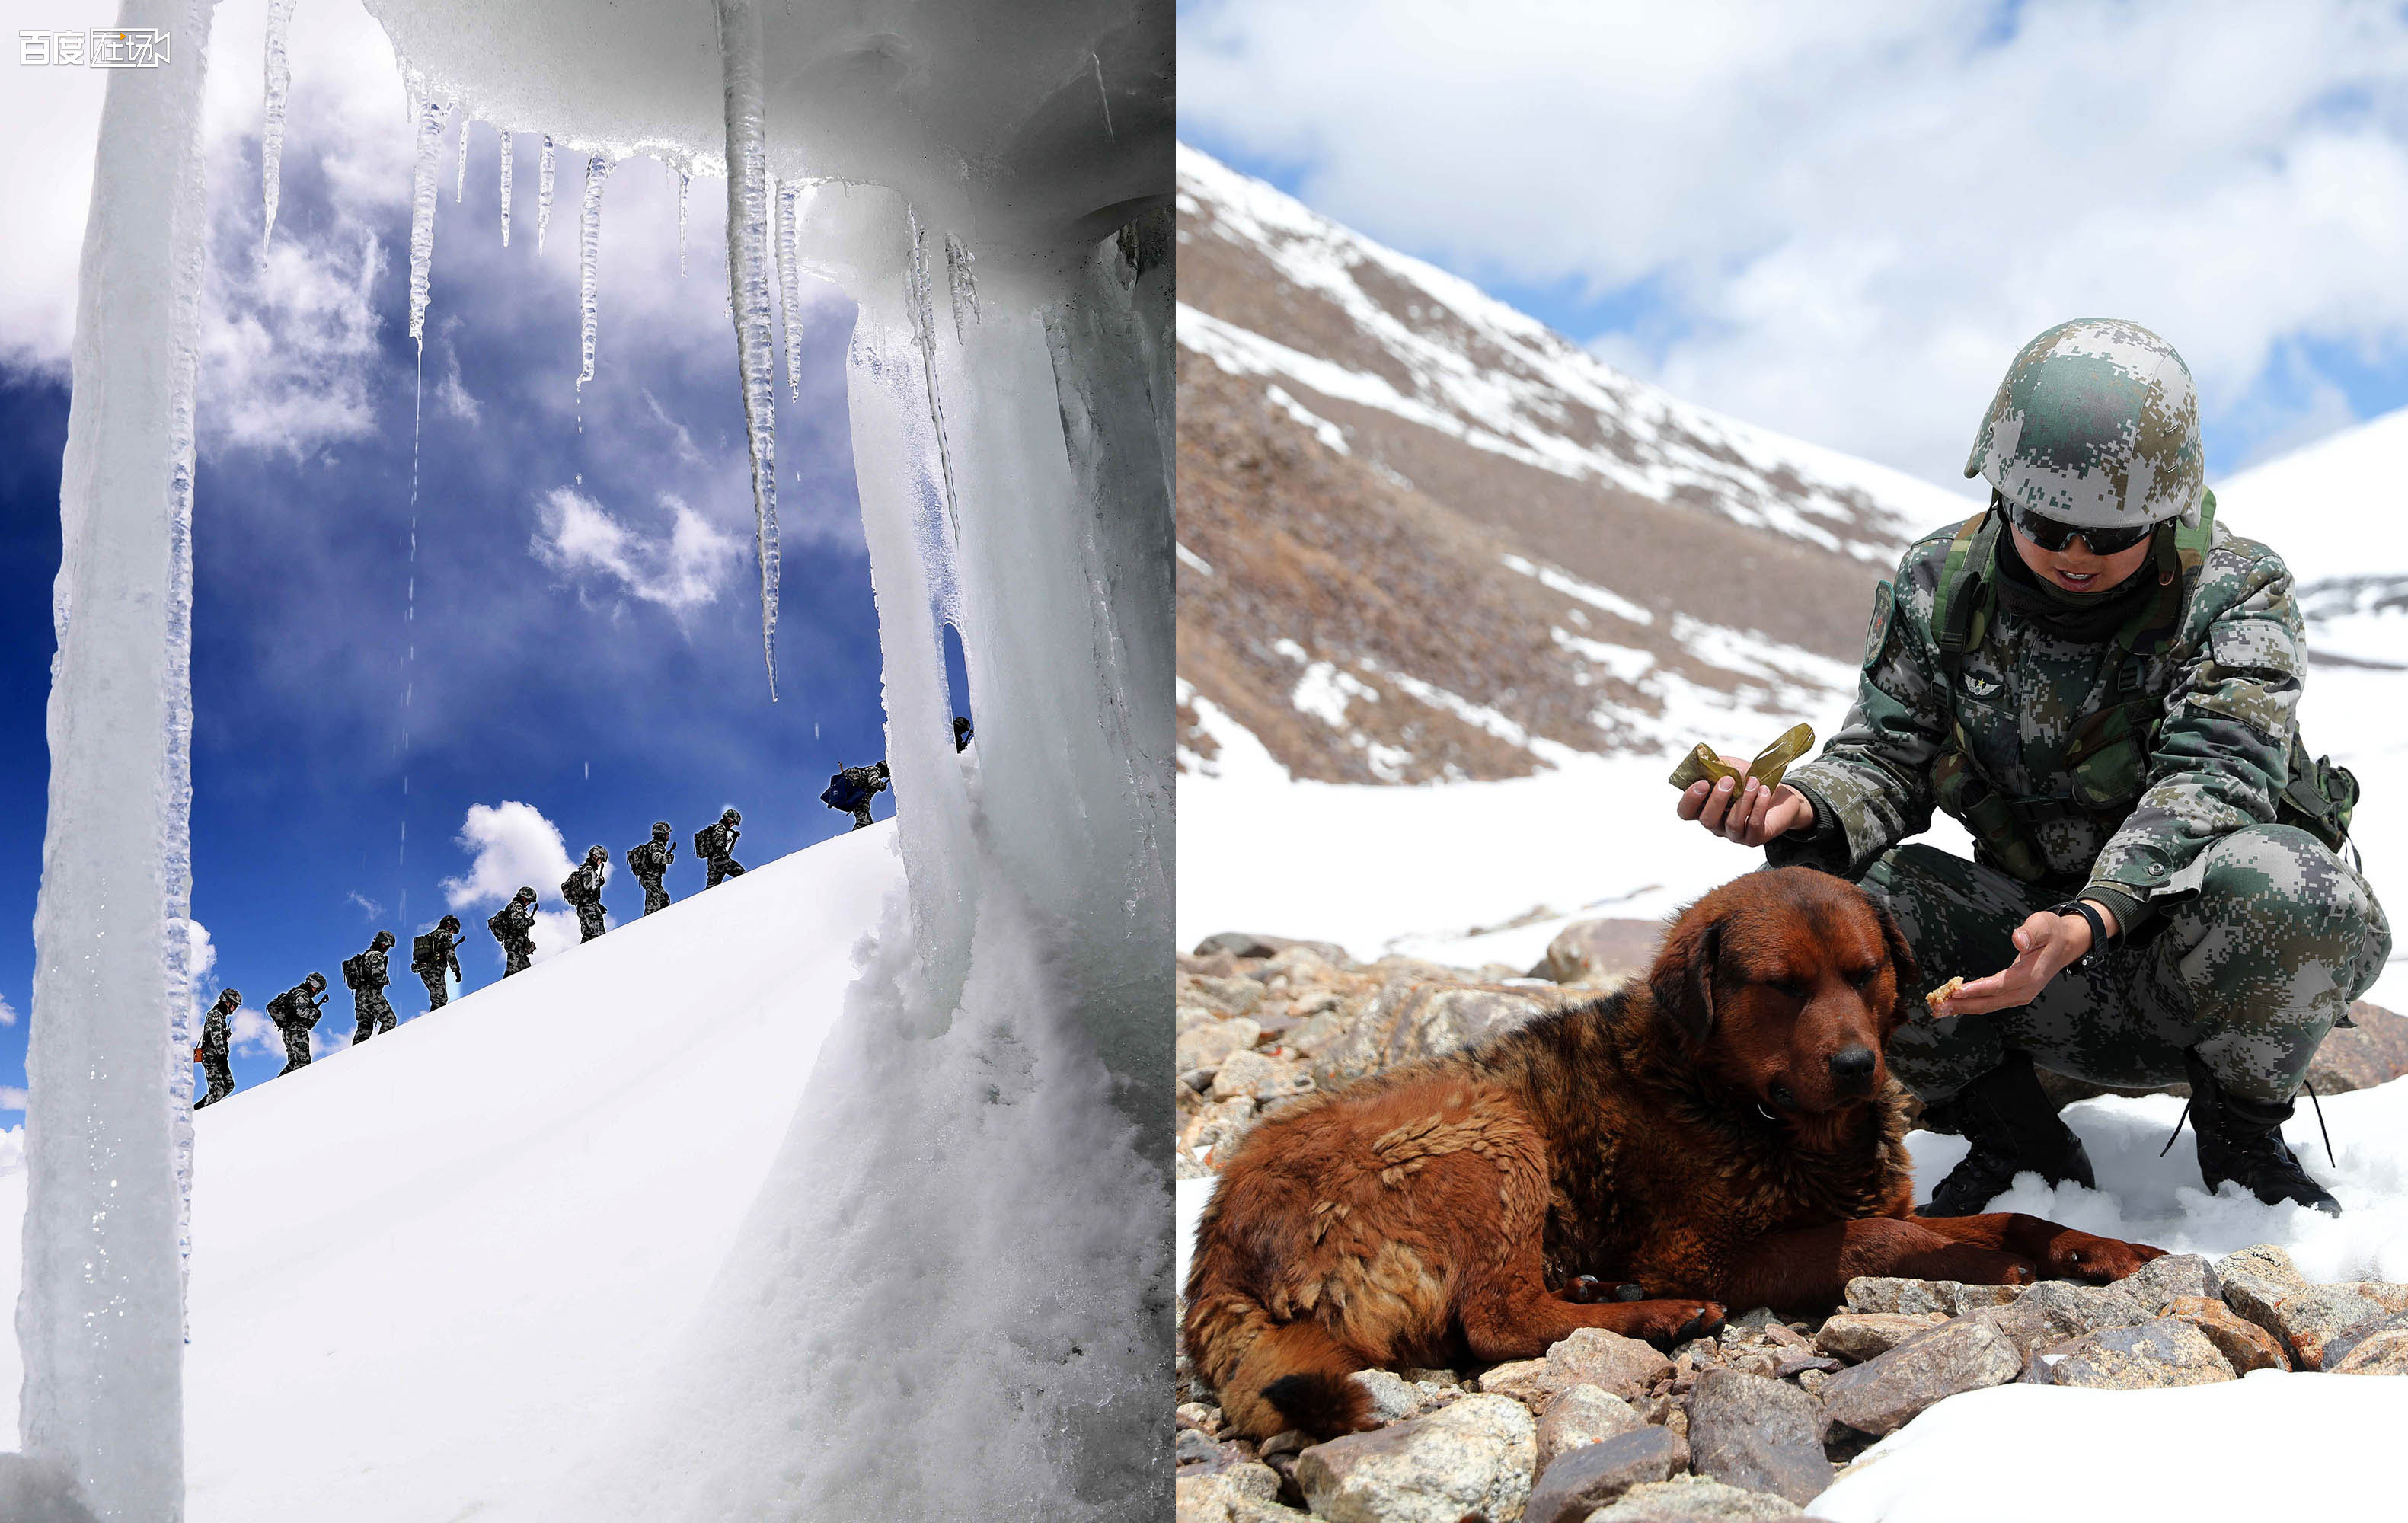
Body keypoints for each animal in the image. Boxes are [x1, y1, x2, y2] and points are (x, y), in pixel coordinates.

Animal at [1184, 866, 2167, 1434]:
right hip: (1487, 1131)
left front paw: (2104, 1248)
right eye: (1784, 986)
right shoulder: (1708, 1250)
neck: (1746, 1107)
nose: (1858, 1066)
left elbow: (2010, 1215)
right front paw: (1987, 1265)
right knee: (1496, 1317)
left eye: (1865, 972)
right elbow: (1875, 1237)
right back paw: (1655, 1313)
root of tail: (1217, 1241)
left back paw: (1596, 1289)